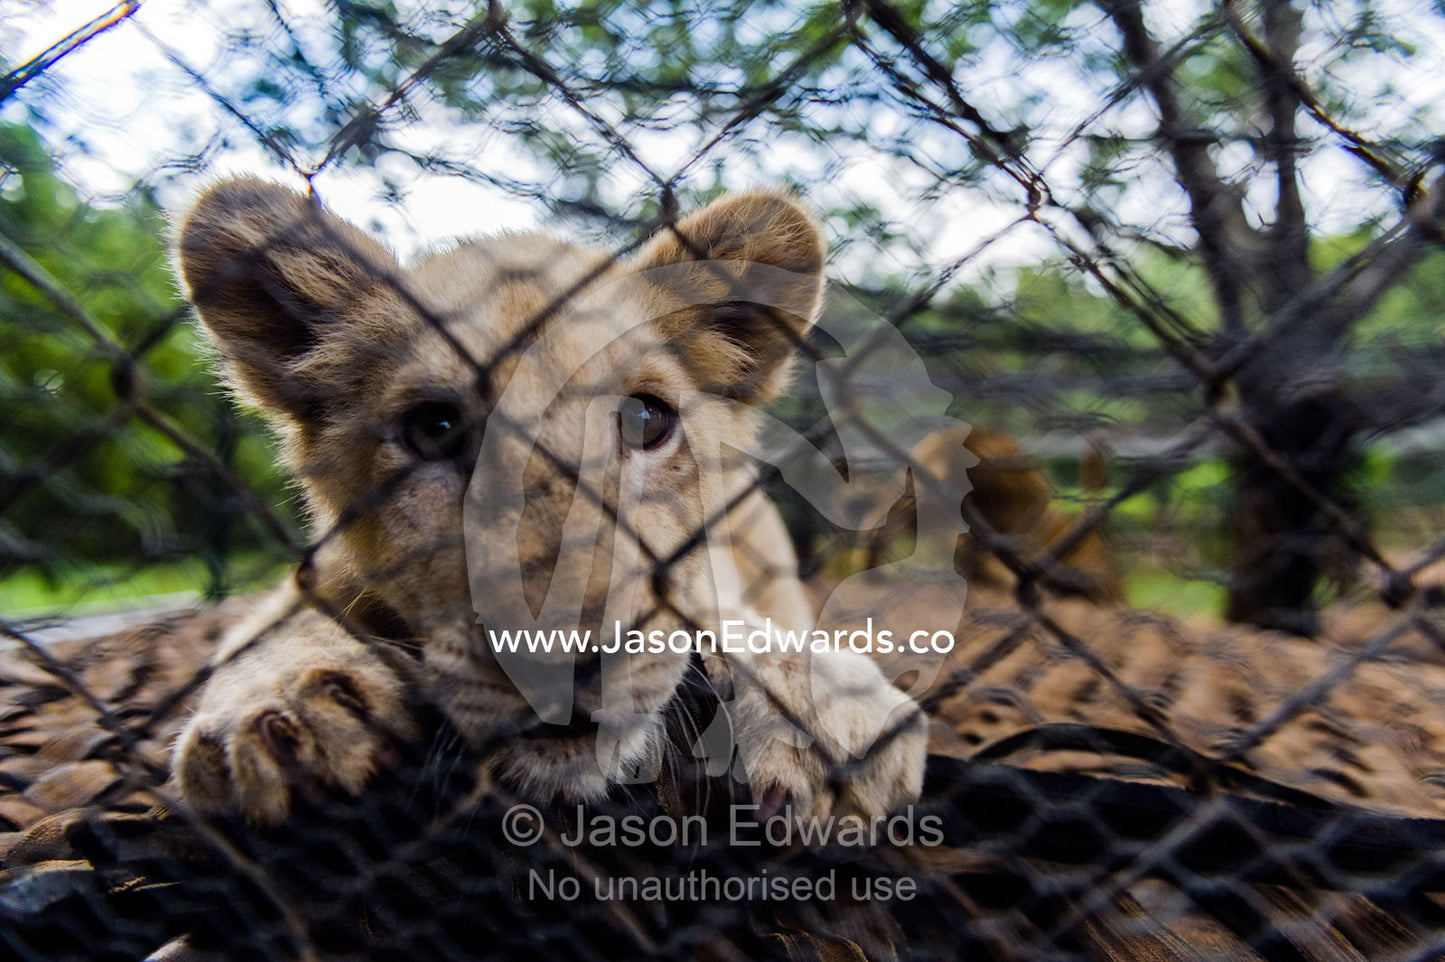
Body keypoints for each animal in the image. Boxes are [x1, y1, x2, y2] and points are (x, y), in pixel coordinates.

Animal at [166, 179, 927, 827]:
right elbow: (276, 619)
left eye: (645, 420)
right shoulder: (323, 571)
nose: (557, 663)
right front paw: (277, 711)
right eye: (434, 429)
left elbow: (721, 618)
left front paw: (828, 713)